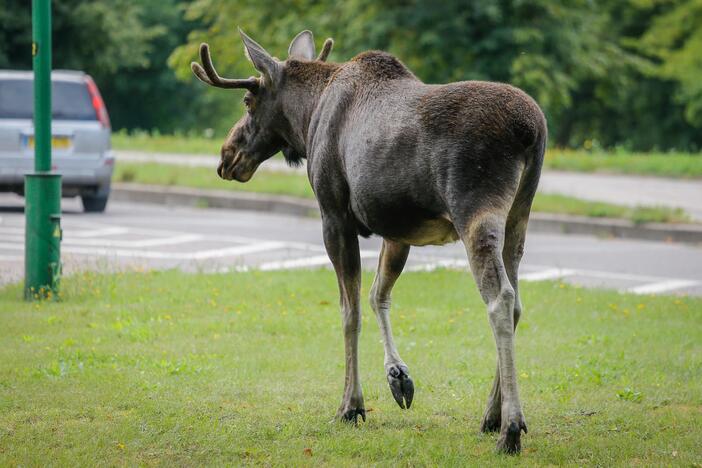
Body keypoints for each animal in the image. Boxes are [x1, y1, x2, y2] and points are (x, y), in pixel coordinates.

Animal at [192, 29, 552, 454]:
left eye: (249, 101)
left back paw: (510, 427)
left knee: (500, 299)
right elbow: (378, 294)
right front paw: (398, 377)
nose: (226, 156)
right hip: (519, 217)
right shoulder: (397, 229)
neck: (308, 118)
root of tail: (531, 130)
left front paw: (351, 405)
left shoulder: (334, 216)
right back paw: (492, 415)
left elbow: (349, 311)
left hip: (476, 211)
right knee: (517, 302)